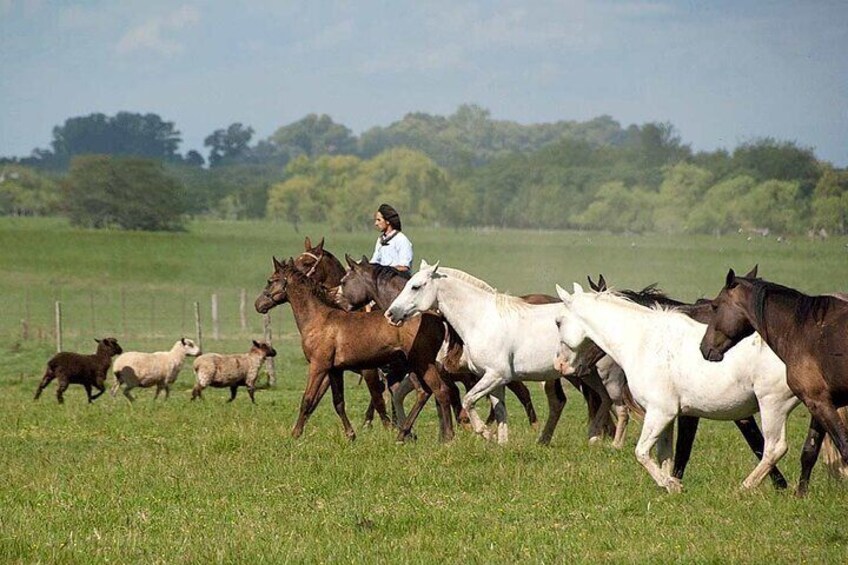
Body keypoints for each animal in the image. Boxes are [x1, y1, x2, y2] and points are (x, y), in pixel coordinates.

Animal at [253, 258, 458, 442]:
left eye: (270, 280)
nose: (258, 304)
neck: (320, 319)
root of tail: (437, 317)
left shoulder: (319, 366)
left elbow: (308, 399)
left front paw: (295, 434)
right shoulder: (334, 370)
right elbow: (338, 402)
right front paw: (351, 435)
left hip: (423, 363)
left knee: (441, 391)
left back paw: (447, 438)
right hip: (413, 366)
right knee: (425, 392)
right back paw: (404, 434)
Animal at [384, 262, 608, 446]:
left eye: (415, 286)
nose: (391, 314)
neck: (481, 319)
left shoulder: (496, 375)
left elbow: (468, 400)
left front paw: (485, 433)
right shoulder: (494, 379)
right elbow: (500, 411)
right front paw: (502, 444)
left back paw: (597, 438)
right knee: (590, 400)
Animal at [552, 284, 800, 492]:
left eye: (558, 322)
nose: (559, 365)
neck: (643, 342)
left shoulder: (660, 412)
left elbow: (642, 452)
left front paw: (670, 484)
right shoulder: (669, 416)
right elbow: (665, 454)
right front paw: (670, 486)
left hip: (772, 406)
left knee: (775, 448)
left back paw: (745, 487)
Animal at [700, 266, 848, 494]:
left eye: (715, 306)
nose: (704, 347)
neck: (803, 332)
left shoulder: (819, 402)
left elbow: (843, 447)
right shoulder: (821, 401)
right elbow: (809, 452)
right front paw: (800, 495)